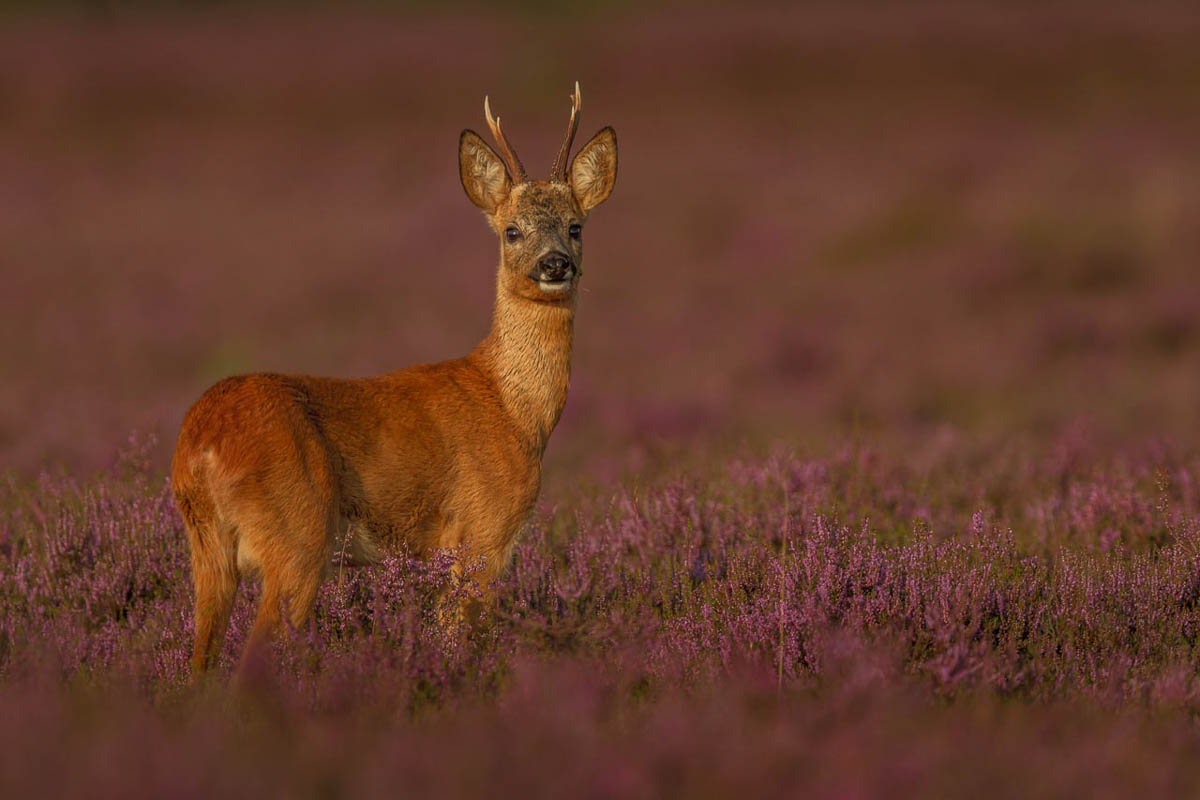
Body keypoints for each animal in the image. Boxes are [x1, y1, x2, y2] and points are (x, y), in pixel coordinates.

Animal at [171, 84, 619, 676]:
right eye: (511, 230)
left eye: (575, 226)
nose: (555, 263)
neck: (514, 410)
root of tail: (199, 447)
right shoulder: (484, 530)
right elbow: (461, 641)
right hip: (298, 534)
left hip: (208, 550)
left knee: (199, 663)